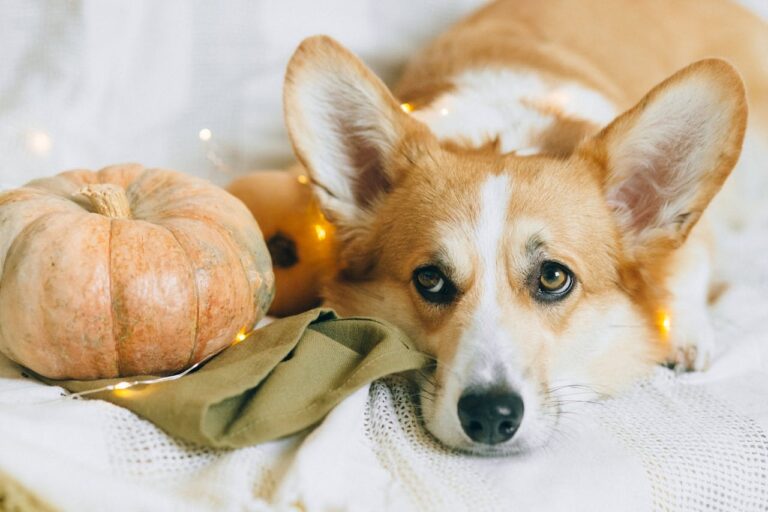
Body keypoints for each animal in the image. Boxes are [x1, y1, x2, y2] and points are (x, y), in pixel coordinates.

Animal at [282, 0, 768, 456]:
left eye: (553, 277)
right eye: (430, 279)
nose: (490, 417)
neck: (507, 136)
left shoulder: (696, 231)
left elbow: (688, 260)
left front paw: (687, 331)